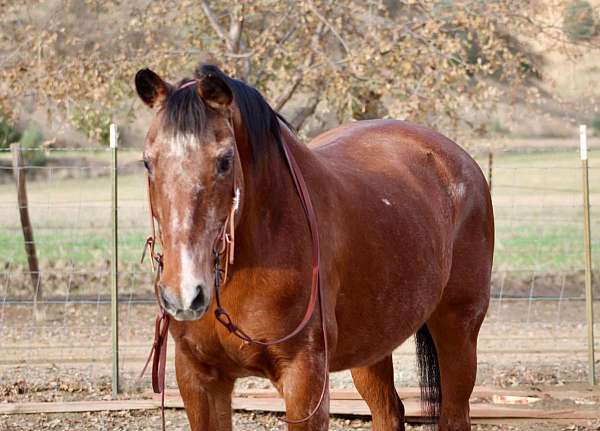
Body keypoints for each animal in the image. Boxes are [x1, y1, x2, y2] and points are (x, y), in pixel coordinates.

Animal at [135, 64, 492, 431]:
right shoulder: (200, 379)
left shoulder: (304, 379)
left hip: (458, 329)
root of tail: (456, 159)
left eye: (224, 160)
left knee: (454, 414)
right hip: (371, 346)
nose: (185, 294)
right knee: (388, 412)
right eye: (148, 162)